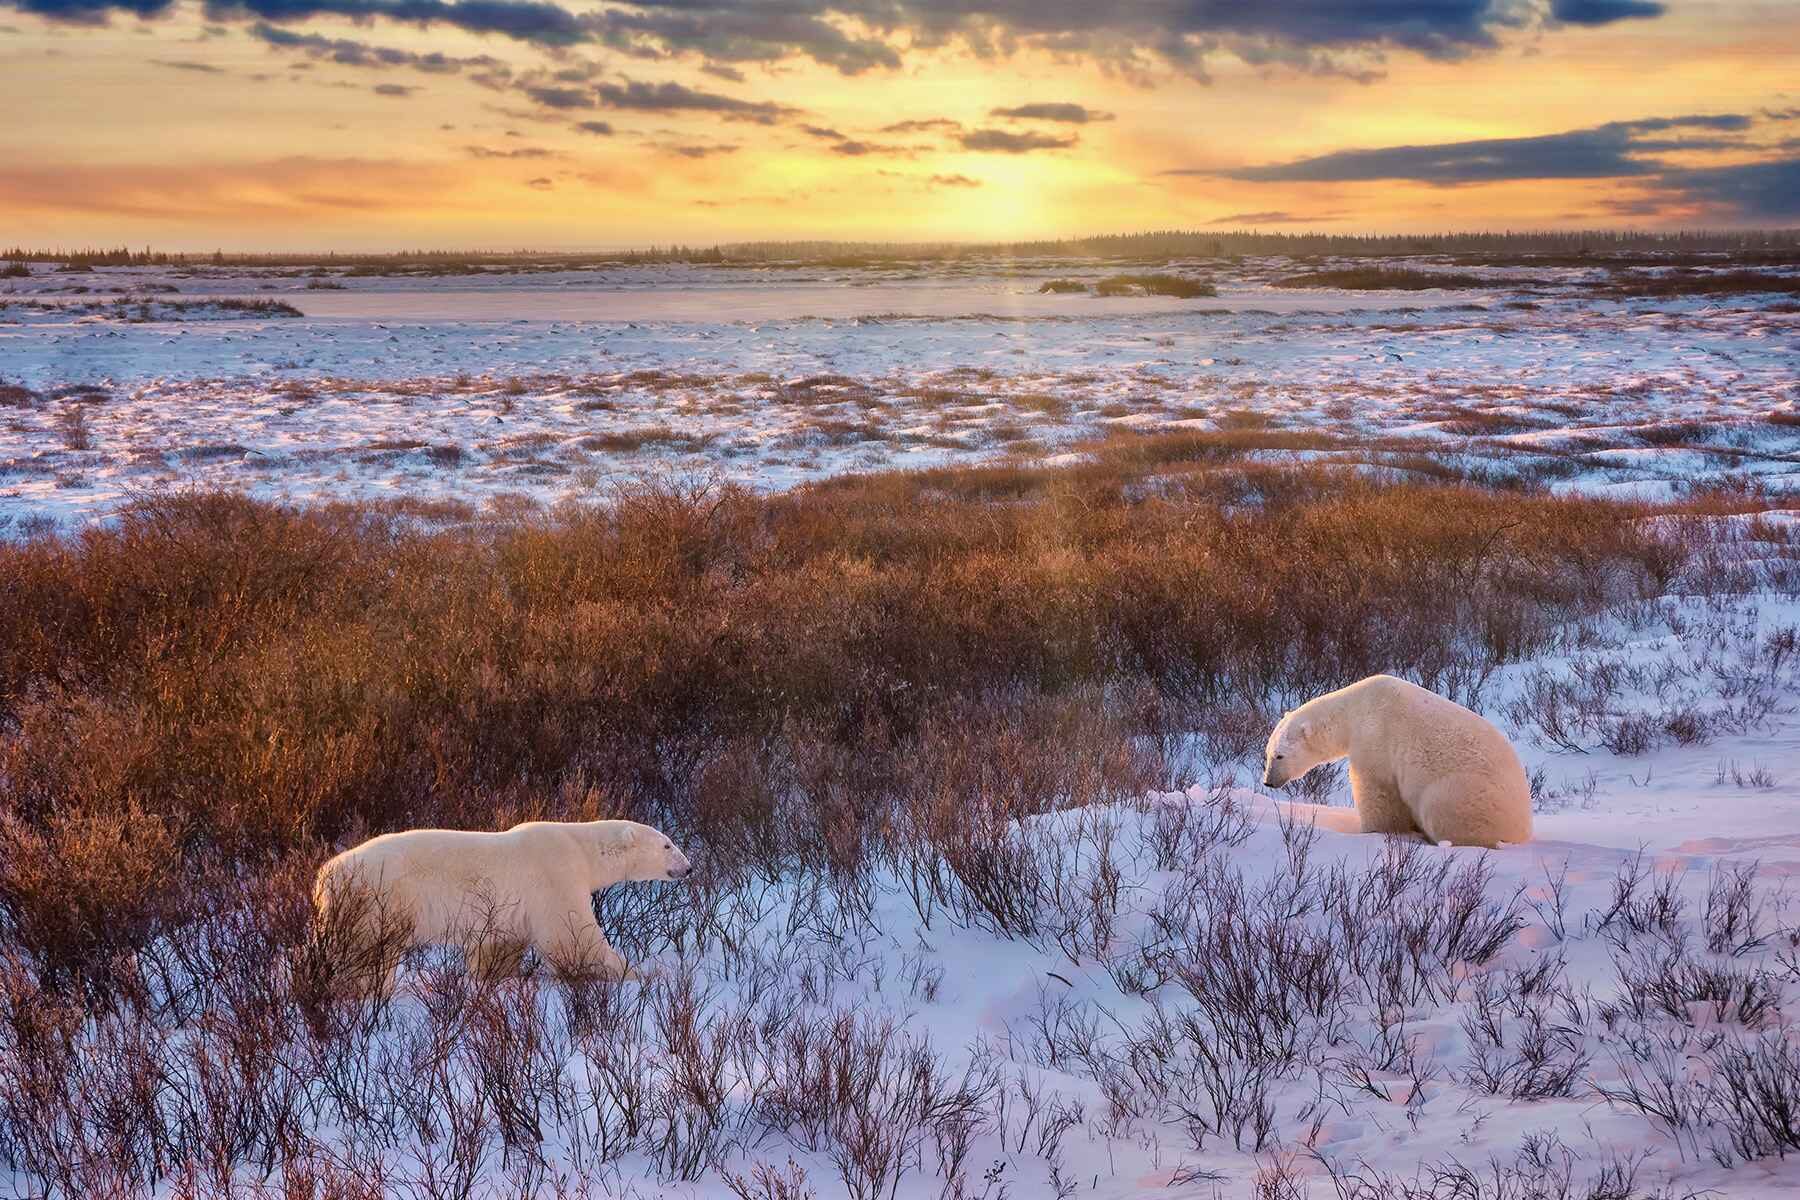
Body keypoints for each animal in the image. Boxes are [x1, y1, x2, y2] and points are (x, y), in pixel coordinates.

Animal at [311, 816, 687, 993]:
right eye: (667, 845)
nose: (689, 867)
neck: (580, 847)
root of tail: (325, 876)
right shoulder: (556, 875)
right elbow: (574, 936)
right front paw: (637, 972)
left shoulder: (508, 910)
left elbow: (499, 944)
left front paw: (496, 977)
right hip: (377, 902)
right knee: (366, 953)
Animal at [1267, 672, 1533, 849]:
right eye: (1267, 753)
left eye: (1280, 755)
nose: (1267, 781)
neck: (1355, 708)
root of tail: (1523, 828)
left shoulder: (1375, 737)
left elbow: (1377, 791)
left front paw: (1375, 831)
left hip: (1463, 794)